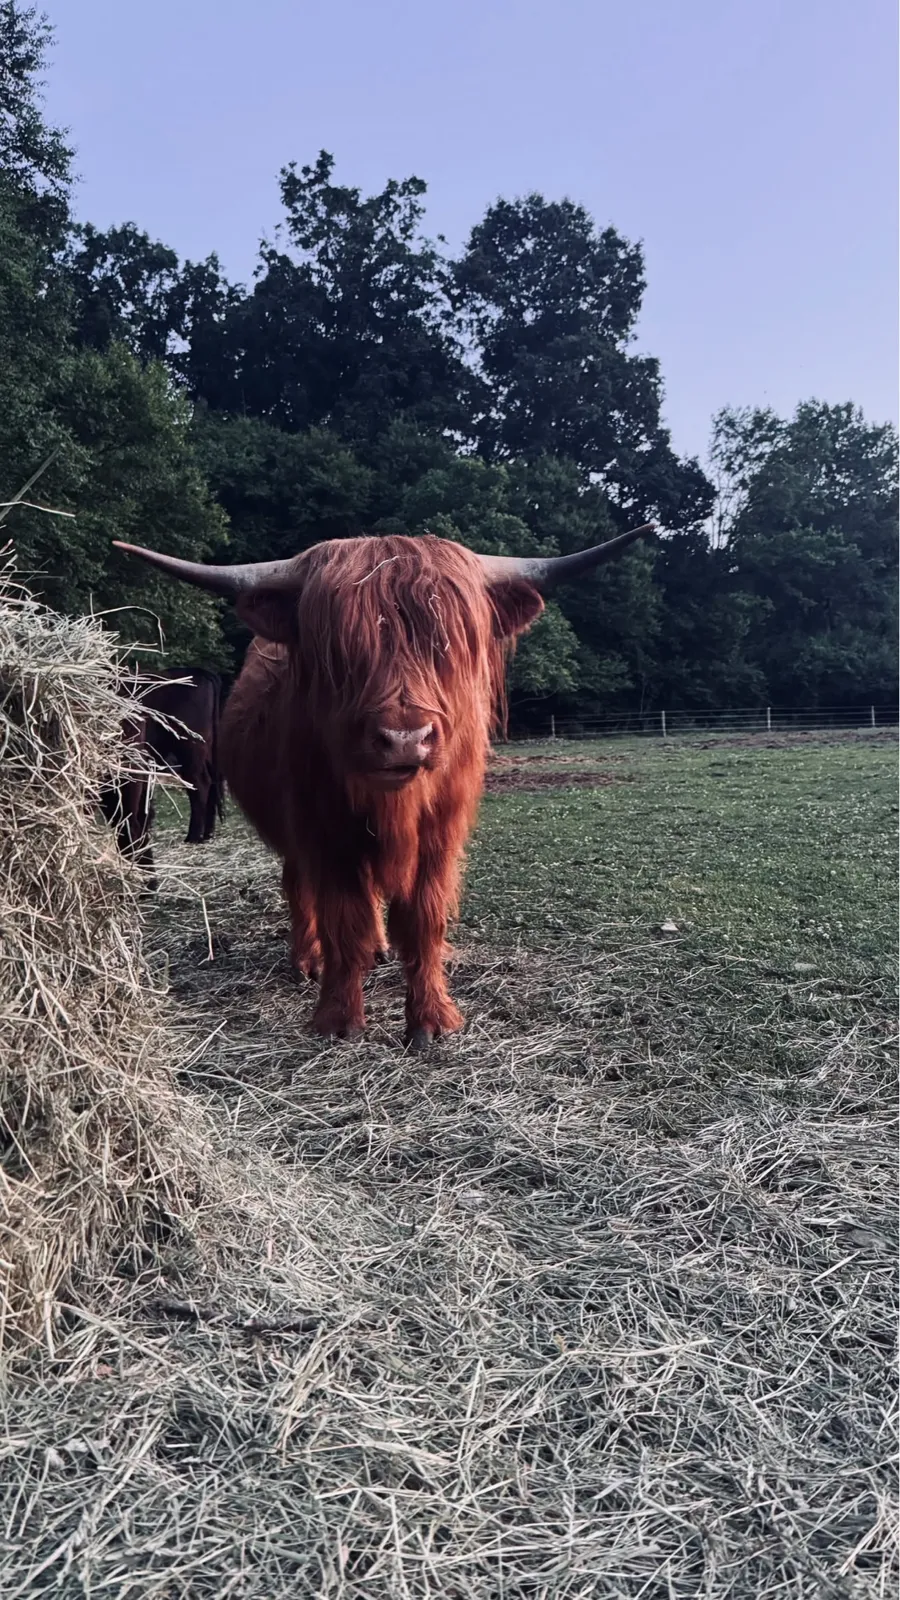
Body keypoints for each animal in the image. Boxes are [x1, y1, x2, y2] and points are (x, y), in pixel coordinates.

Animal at [112, 527, 652, 1047]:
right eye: (341, 650)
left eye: (446, 645)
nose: (404, 738)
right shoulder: (324, 833)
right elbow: (342, 919)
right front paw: (338, 1017)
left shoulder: (440, 836)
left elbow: (423, 920)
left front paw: (431, 1018)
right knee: (298, 888)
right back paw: (308, 958)